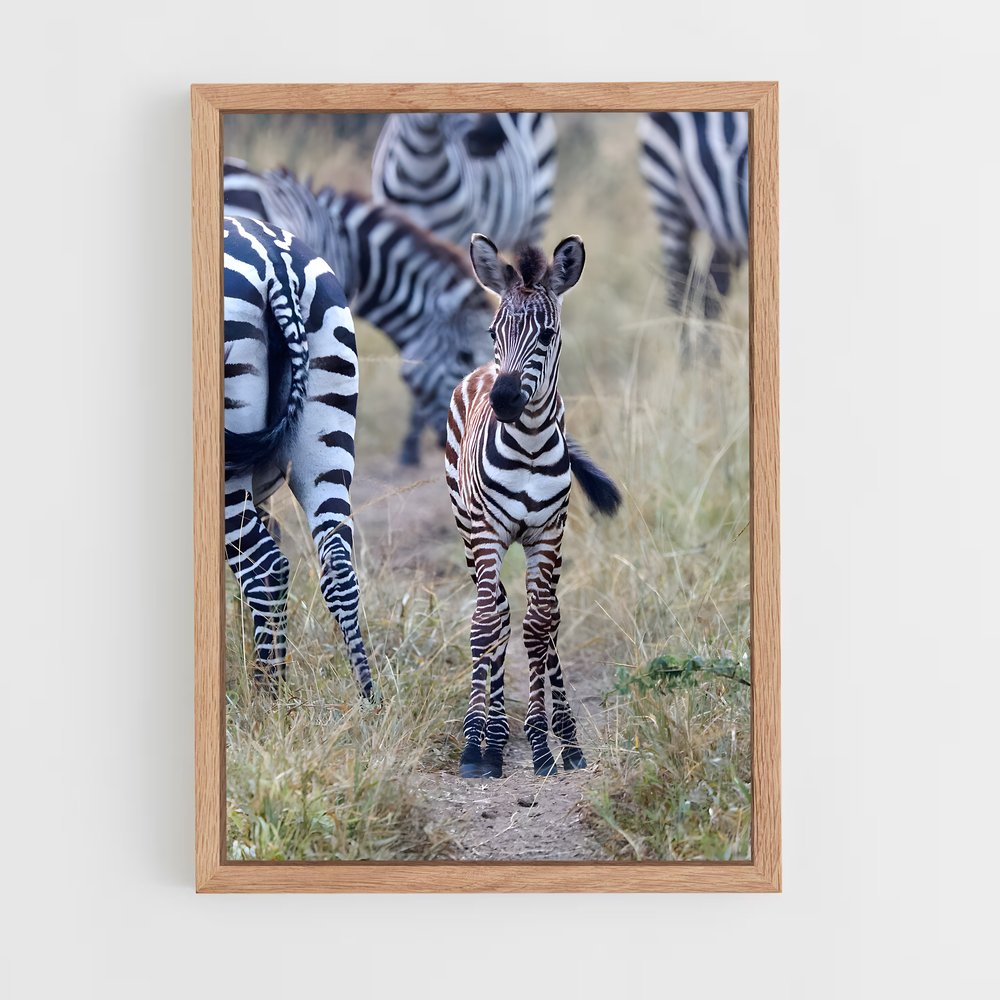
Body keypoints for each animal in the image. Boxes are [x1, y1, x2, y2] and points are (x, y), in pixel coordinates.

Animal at [224, 215, 372, 698]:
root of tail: (275, 261)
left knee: (265, 569)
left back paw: (267, 700)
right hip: (326, 435)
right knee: (338, 565)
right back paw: (366, 698)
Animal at [445, 233, 622, 779]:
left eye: (546, 334)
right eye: (493, 330)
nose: (503, 401)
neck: (525, 446)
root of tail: (484, 371)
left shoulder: (548, 534)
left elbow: (540, 628)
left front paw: (546, 744)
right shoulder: (488, 533)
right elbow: (486, 625)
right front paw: (475, 749)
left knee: (547, 618)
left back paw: (565, 739)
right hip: (467, 531)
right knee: (499, 613)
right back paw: (493, 738)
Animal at [637, 112, 749, 358]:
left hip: (724, 230)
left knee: (712, 293)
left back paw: (709, 363)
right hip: (669, 198)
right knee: (680, 291)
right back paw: (689, 364)